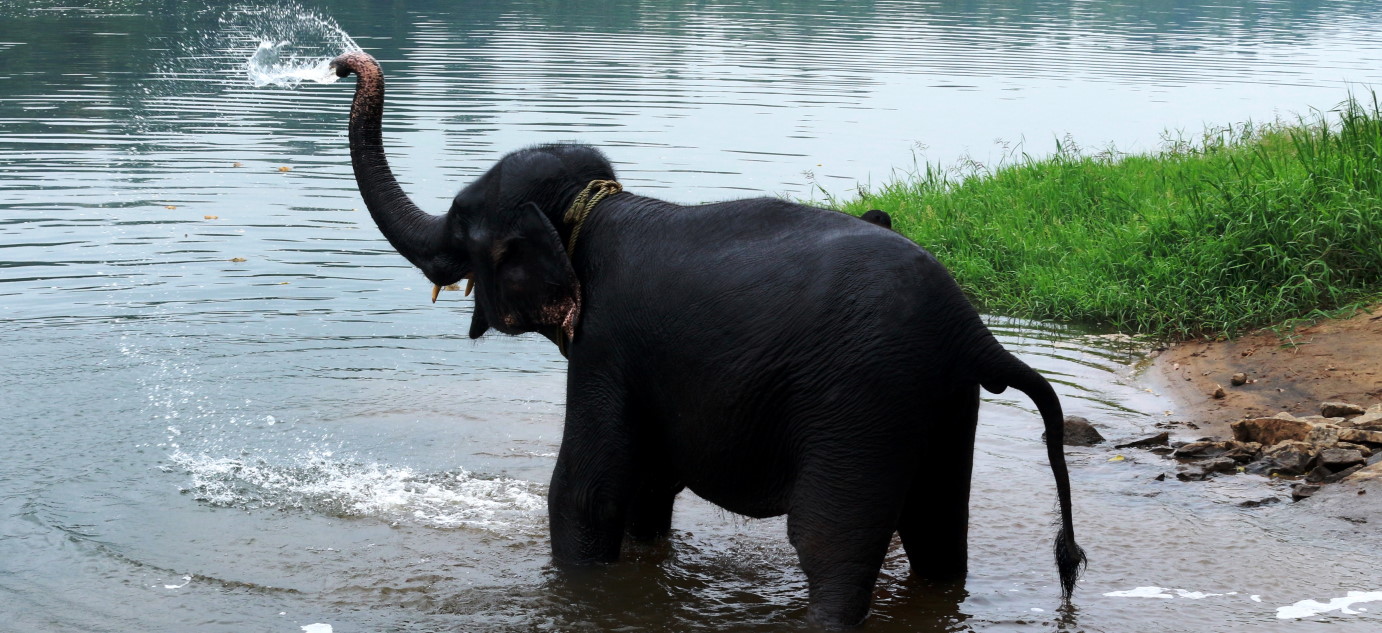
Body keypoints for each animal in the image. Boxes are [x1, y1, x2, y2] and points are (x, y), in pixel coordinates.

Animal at [328, 51, 1083, 624]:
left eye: (460, 220)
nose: (341, 64)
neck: (594, 209)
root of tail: (975, 335)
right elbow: (647, 491)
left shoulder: (606, 346)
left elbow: (584, 492)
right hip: (946, 404)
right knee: (938, 534)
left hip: (864, 405)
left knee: (831, 546)